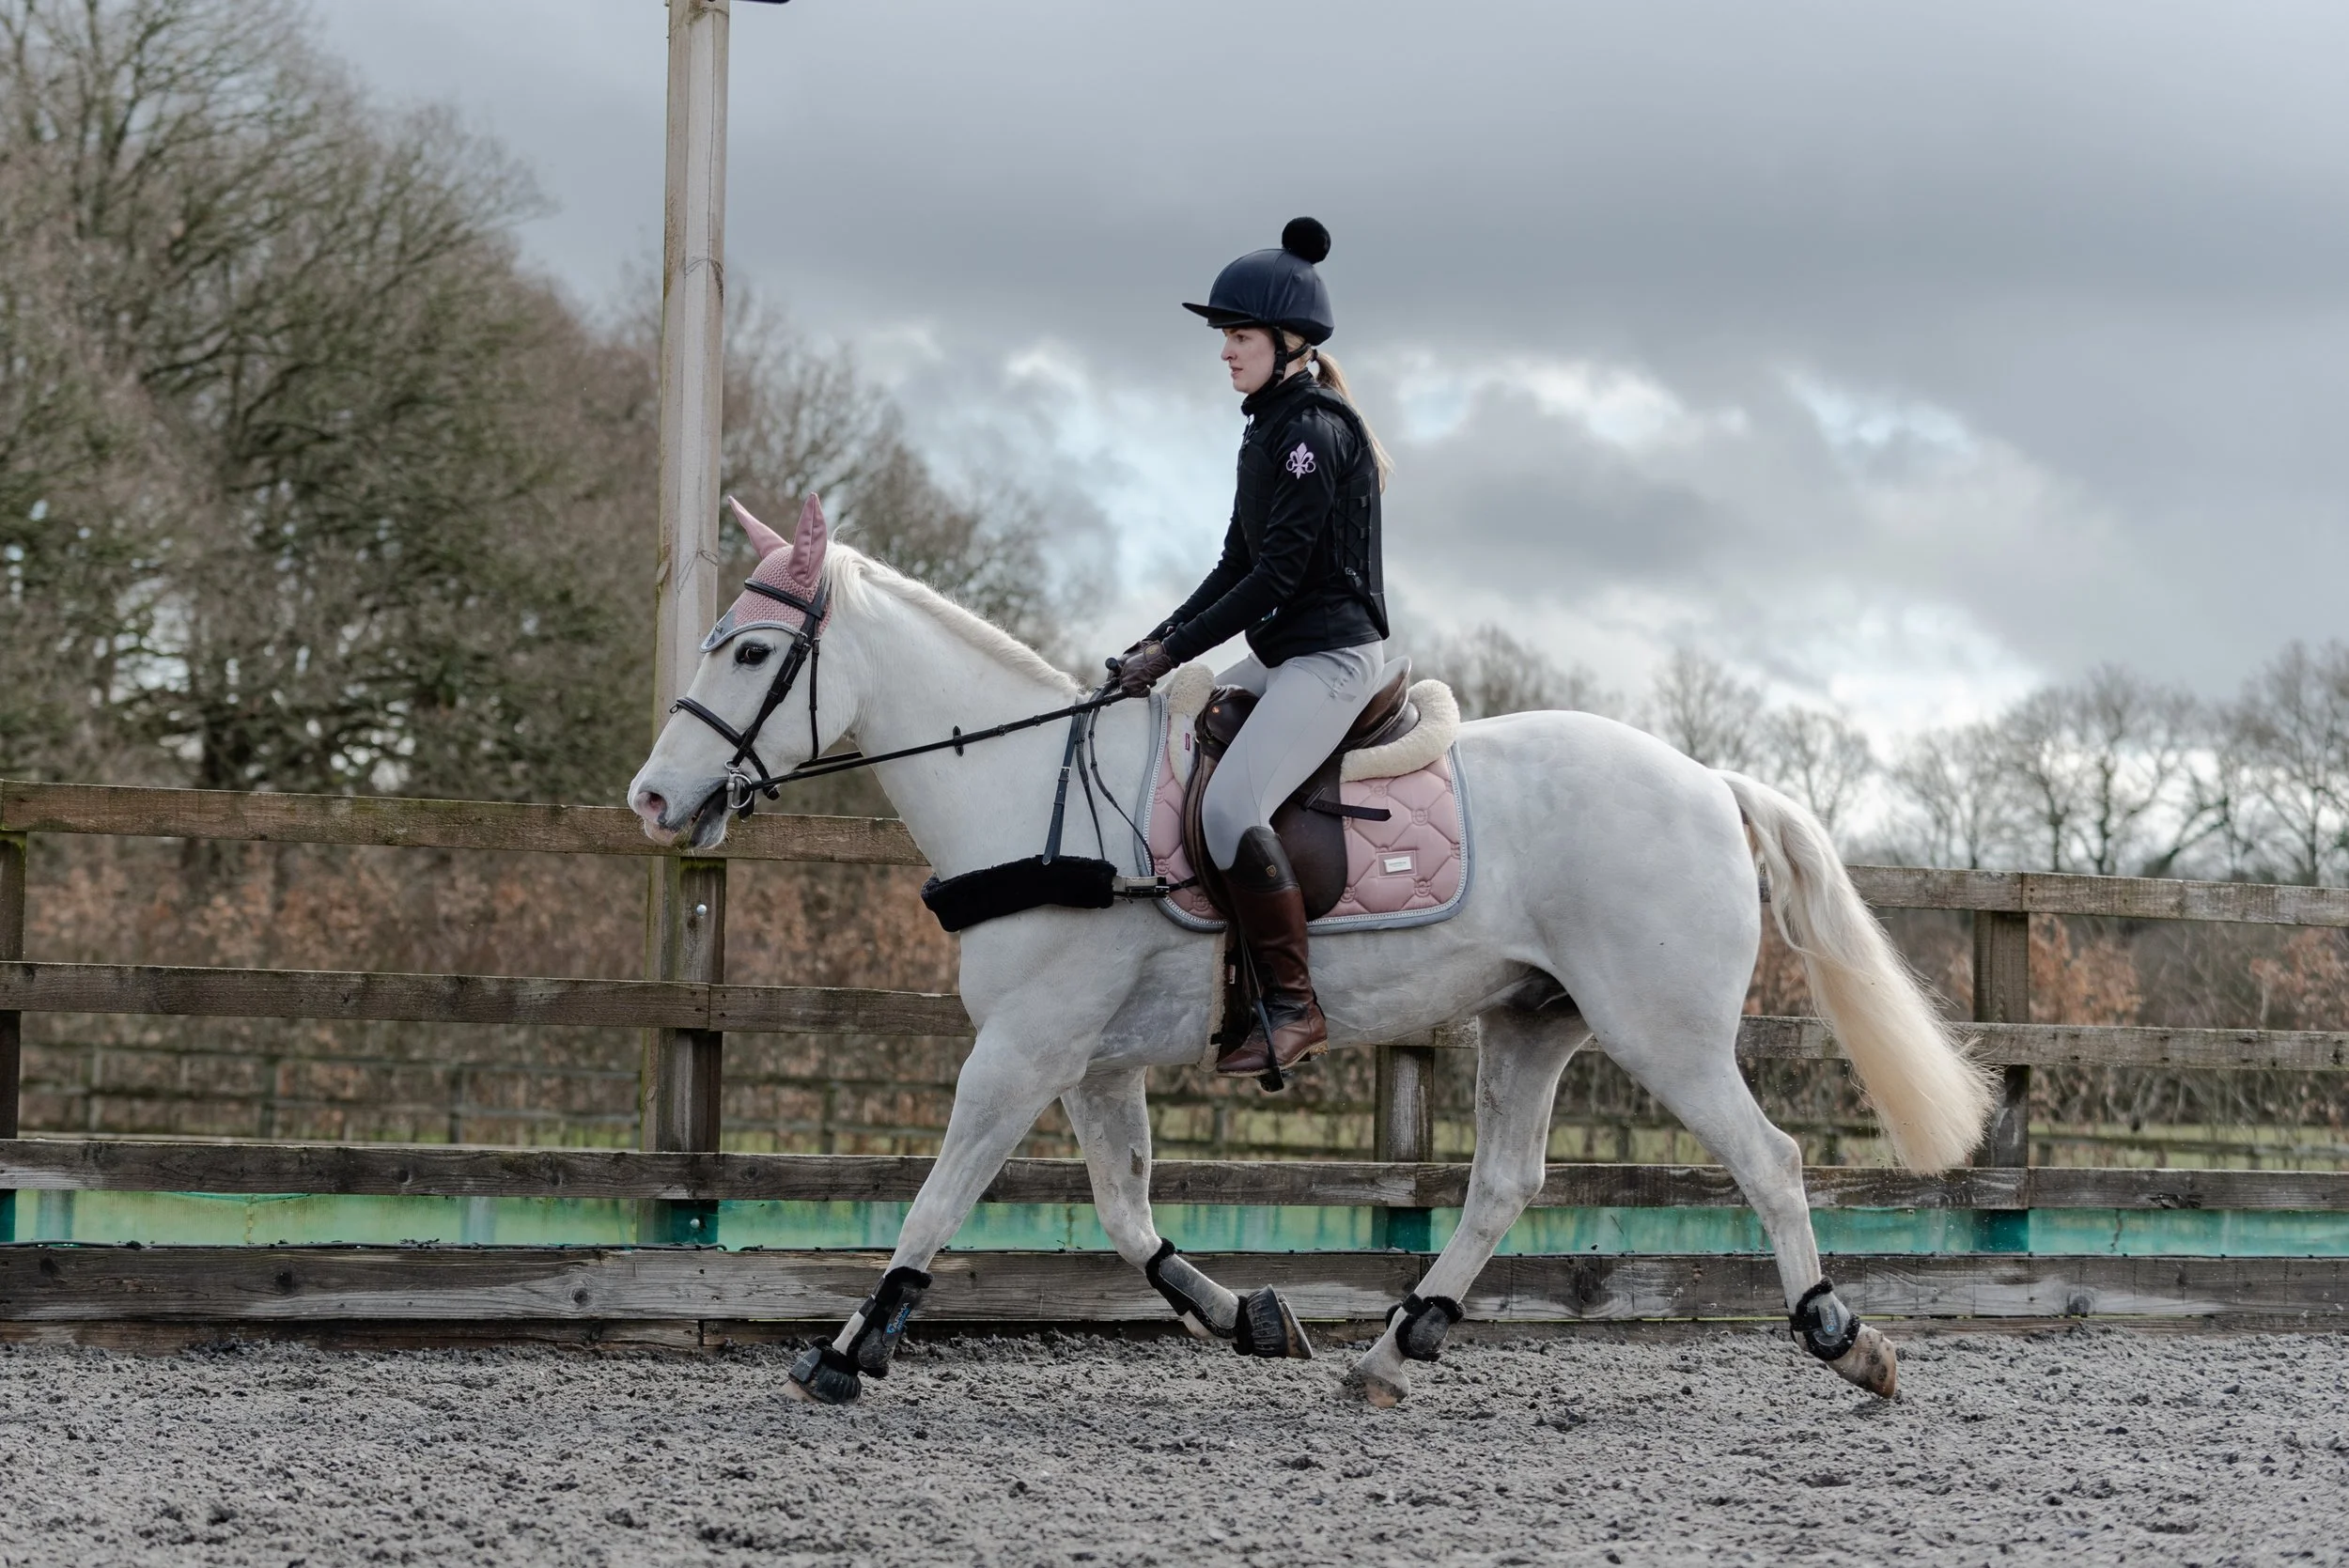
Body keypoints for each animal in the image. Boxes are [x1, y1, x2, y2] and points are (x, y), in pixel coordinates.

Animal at [627, 494, 1993, 1406]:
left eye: (751, 650)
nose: (651, 798)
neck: (1033, 796)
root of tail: (1711, 780)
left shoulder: (1022, 1051)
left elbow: (937, 1197)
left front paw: (848, 1349)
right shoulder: (1093, 1063)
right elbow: (1125, 1211)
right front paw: (1252, 1316)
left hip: (1662, 1032)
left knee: (1770, 1160)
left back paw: (1842, 1335)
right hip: (1532, 1018)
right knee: (1505, 1182)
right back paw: (1395, 1348)